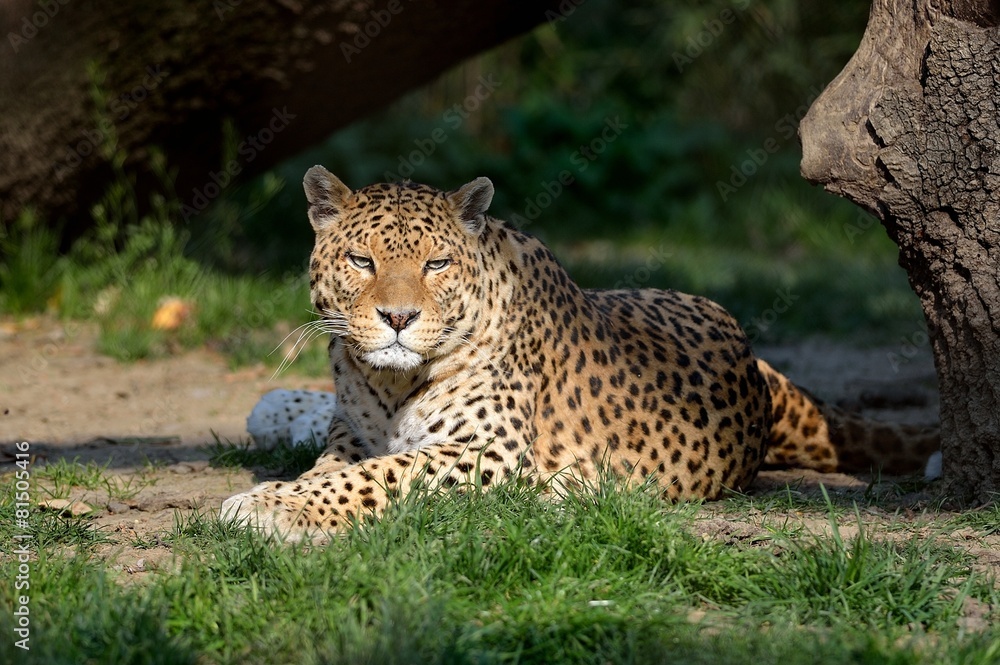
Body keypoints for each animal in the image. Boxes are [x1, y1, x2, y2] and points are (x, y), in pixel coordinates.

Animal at [220, 166, 940, 542]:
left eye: (436, 263)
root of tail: (754, 368)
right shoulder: (353, 433)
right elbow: (335, 468)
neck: (390, 384)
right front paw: (286, 493)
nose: (398, 318)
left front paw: (271, 506)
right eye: (361, 261)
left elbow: (377, 476)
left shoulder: (487, 451)